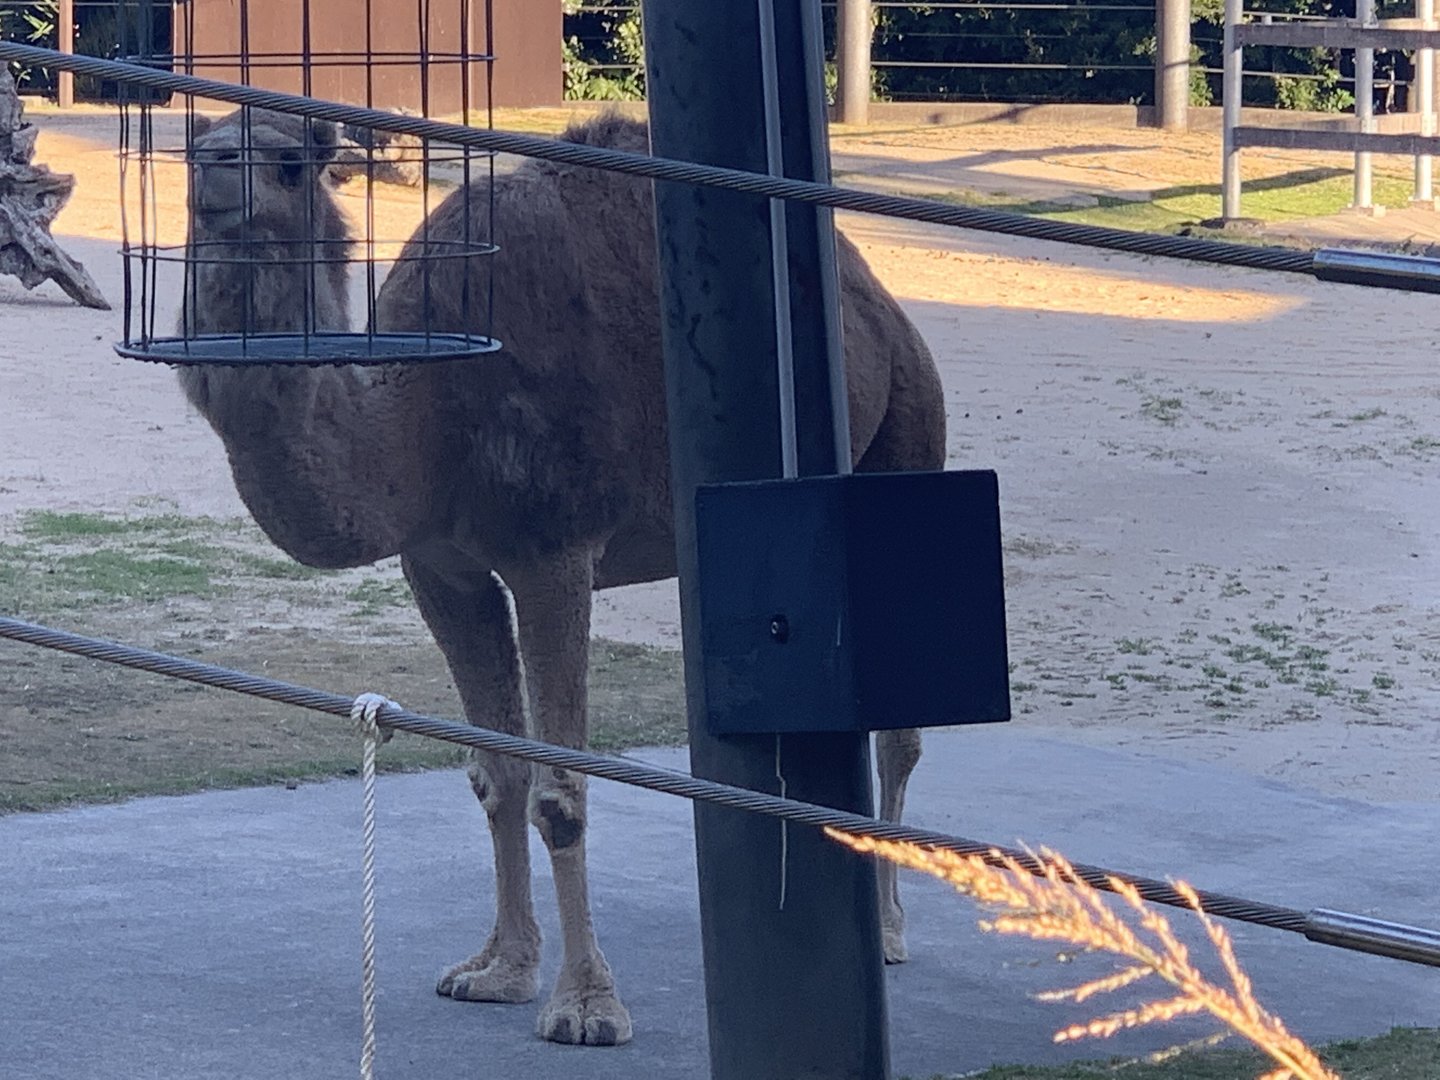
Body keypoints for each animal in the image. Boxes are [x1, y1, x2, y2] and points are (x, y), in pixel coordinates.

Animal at [176, 108, 945, 1047]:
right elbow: (498, 774)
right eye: (199, 145)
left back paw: (890, 932)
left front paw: (585, 1006)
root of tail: (878, 301)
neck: (424, 418)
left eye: (288, 162)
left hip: (906, 432)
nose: (214, 170)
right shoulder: (441, 566)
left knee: (898, 730)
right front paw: (499, 970)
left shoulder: (553, 549)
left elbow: (559, 792)